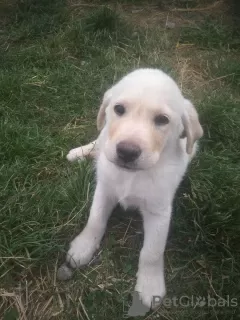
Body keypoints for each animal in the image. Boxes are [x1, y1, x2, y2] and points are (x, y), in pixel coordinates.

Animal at [63, 69, 202, 308]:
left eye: (162, 120)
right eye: (119, 109)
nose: (127, 152)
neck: (133, 176)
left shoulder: (159, 211)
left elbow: (152, 252)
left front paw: (150, 284)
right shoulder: (104, 190)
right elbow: (95, 221)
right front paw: (83, 247)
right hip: (104, 135)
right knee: (99, 141)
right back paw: (79, 152)